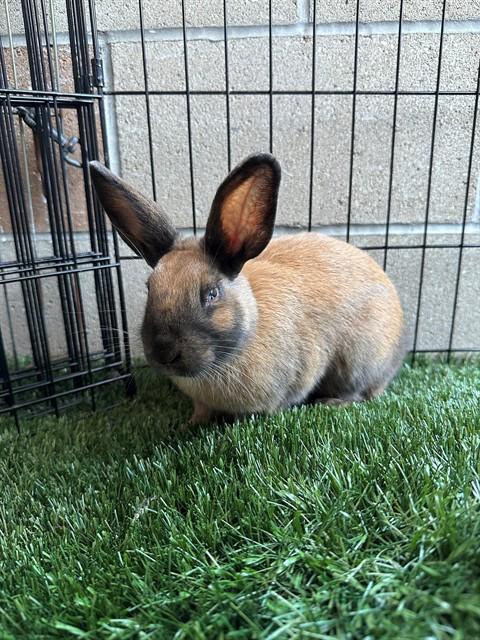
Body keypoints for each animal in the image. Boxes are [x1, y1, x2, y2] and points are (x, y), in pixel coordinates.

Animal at [89, 153, 405, 426]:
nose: (162, 351)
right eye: (149, 288)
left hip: (357, 362)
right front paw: (189, 424)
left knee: (360, 392)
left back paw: (333, 402)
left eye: (212, 293)